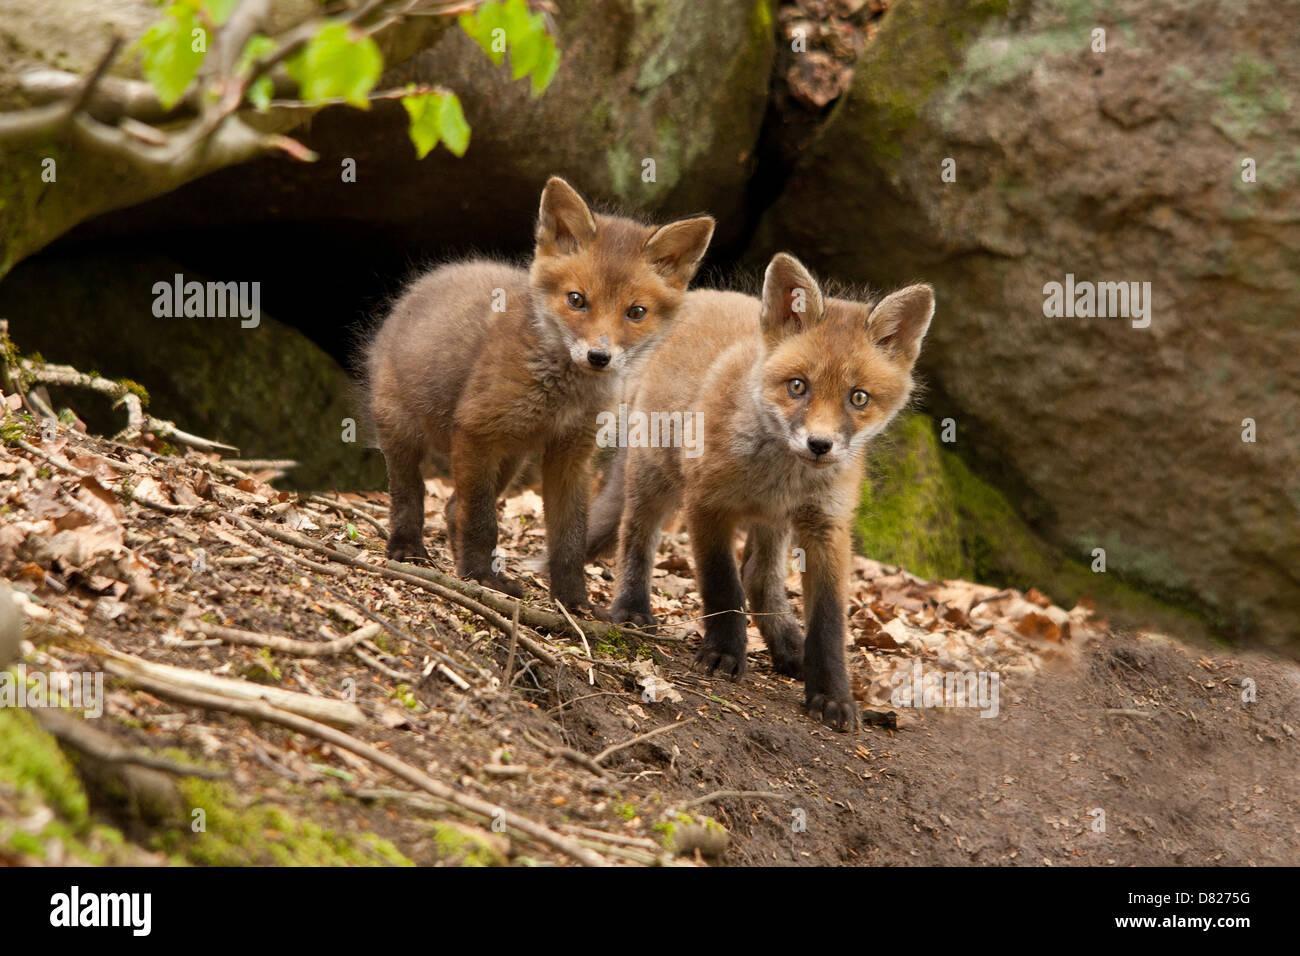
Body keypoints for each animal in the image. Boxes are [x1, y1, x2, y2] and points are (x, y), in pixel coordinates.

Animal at [365, 177, 714, 608]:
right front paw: (481, 577)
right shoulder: (475, 431)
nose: (599, 356)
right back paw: (408, 548)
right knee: (410, 495)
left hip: (509, 460)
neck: (562, 396)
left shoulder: (572, 454)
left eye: (636, 312)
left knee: (450, 508)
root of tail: (416, 289)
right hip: (406, 432)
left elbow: (569, 538)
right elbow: (481, 521)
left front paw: (572, 600)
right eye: (576, 300)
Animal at [587, 253, 934, 730]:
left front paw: (831, 693)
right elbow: (721, 585)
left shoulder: (826, 526)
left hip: (775, 522)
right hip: (654, 474)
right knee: (635, 539)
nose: (820, 445)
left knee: (758, 576)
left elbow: (828, 622)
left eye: (858, 398)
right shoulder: (706, 503)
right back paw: (633, 608)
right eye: (797, 386)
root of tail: (699, 296)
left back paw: (789, 645)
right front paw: (724, 652)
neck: (782, 476)